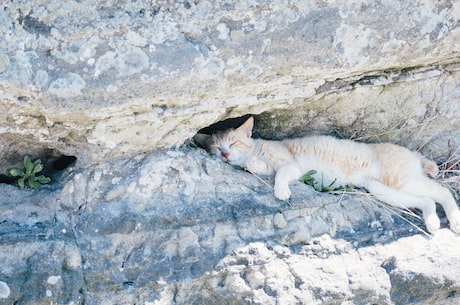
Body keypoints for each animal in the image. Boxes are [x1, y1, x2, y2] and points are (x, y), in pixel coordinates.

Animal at [194, 116, 460, 233]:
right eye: (216, 148)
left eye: (233, 143)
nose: (225, 155)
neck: (256, 149)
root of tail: (411, 152)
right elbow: (262, 167)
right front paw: (252, 165)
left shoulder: (291, 165)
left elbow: (280, 174)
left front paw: (281, 191)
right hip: (383, 190)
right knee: (427, 201)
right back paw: (432, 222)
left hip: (400, 179)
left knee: (442, 191)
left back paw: (455, 220)